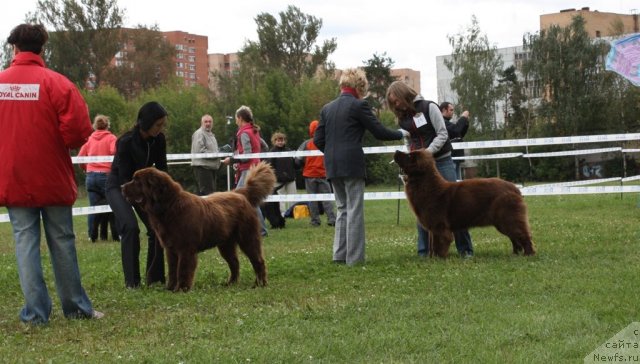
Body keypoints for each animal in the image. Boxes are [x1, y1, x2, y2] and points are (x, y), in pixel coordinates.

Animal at [122, 164, 276, 292]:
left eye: (137, 181)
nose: (122, 186)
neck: (169, 206)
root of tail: (239, 193)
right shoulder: (170, 249)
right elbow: (172, 270)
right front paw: (170, 288)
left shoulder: (186, 249)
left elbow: (183, 269)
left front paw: (182, 288)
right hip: (225, 244)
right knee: (235, 263)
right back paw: (231, 283)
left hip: (247, 238)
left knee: (258, 261)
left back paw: (260, 284)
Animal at [396, 149, 536, 258]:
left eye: (409, 156)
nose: (396, 151)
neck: (428, 186)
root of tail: (514, 188)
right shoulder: (432, 227)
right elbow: (432, 245)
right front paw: (431, 258)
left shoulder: (439, 226)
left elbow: (439, 243)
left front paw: (437, 259)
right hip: (503, 222)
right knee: (515, 238)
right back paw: (515, 254)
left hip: (508, 218)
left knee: (523, 235)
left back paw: (528, 254)